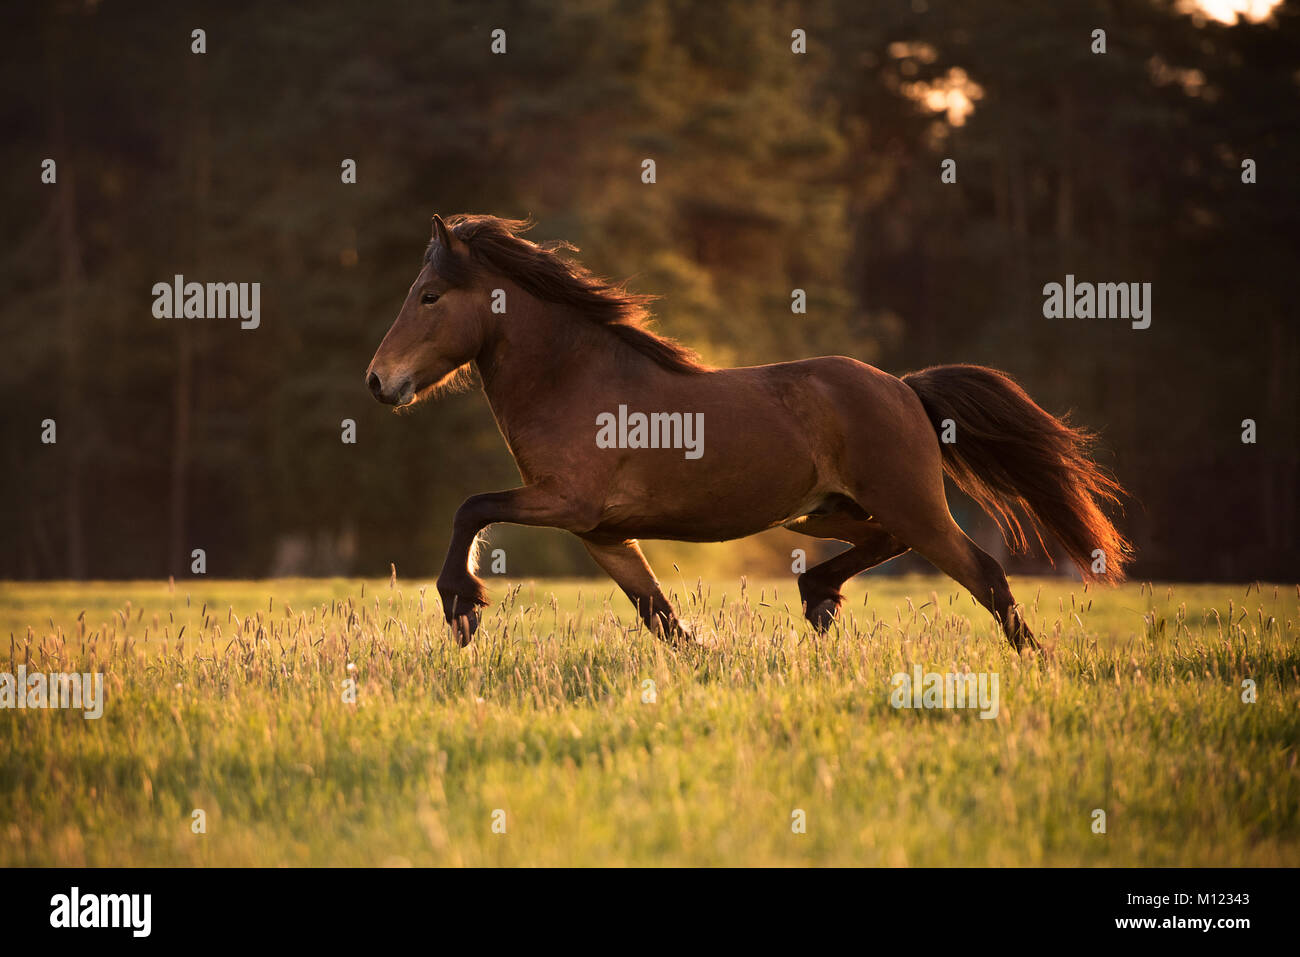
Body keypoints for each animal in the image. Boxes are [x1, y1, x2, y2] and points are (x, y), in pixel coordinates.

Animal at [366, 215, 1128, 650]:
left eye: (429, 296)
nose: (378, 381)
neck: (575, 380)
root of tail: (904, 387)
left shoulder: (567, 503)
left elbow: (472, 508)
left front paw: (461, 608)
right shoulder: (603, 533)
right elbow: (658, 616)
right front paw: (707, 658)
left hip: (909, 503)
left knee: (984, 573)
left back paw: (1034, 665)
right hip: (824, 512)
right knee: (885, 542)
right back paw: (818, 596)